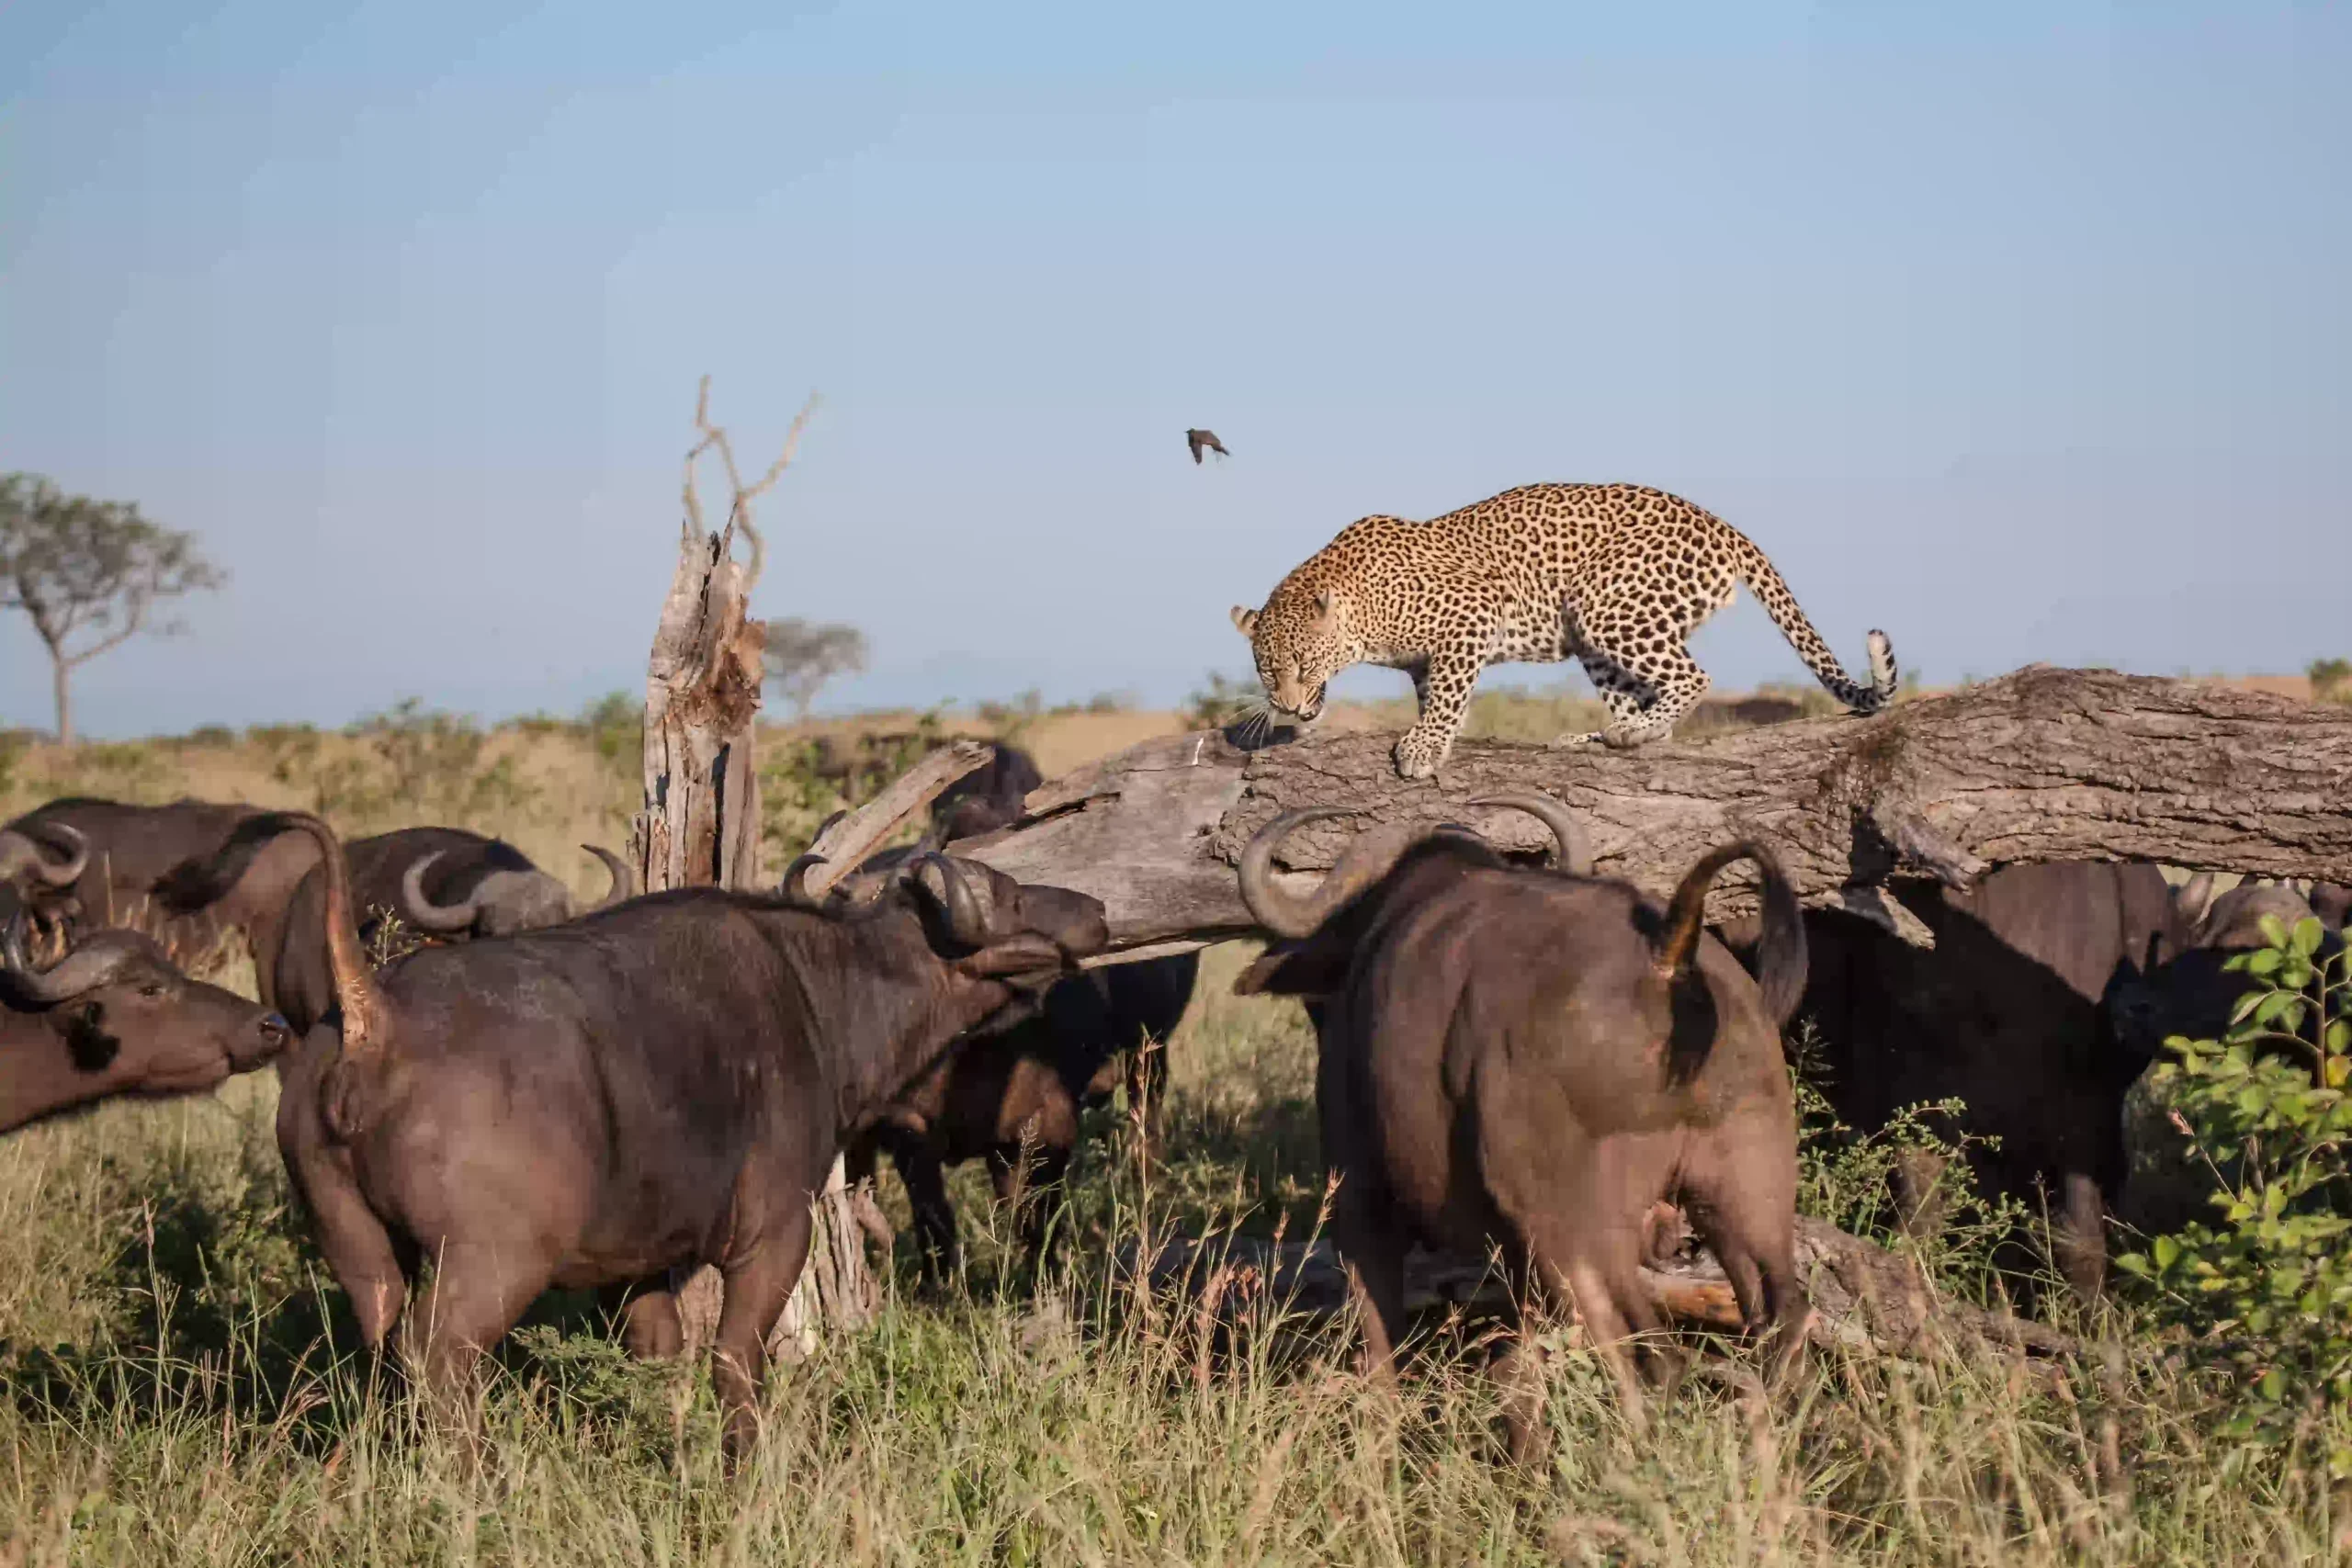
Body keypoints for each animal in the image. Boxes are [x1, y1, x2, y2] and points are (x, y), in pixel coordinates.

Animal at [1230, 482, 1896, 779]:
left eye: (1301, 663)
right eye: (1266, 669)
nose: (1286, 703)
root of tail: (1719, 523)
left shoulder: (1475, 610)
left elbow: (1447, 697)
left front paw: (1422, 749)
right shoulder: (1426, 658)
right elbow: (1436, 693)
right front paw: (1430, 736)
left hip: (1602, 604)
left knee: (1692, 677)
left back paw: (1629, 733)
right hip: (1597, 638)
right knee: (1643, 700)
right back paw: (1604, 735)